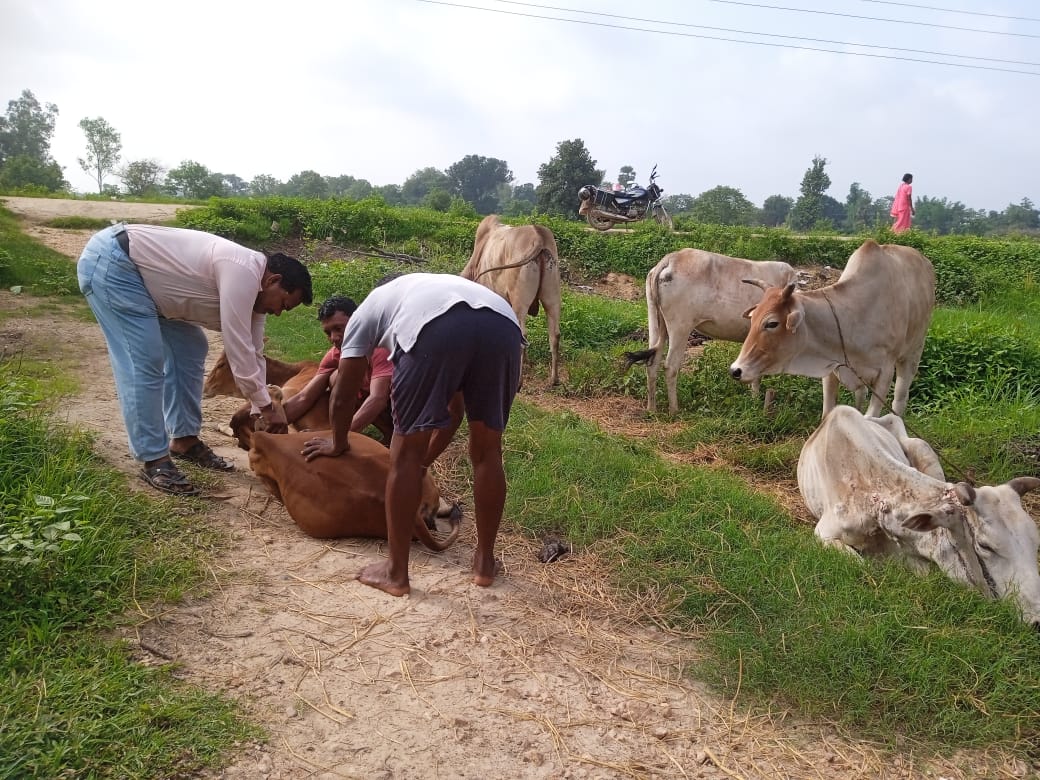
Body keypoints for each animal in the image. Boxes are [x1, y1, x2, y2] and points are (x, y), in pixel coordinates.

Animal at [461, 215, 561, 386]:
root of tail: (539, 236)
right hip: (552, 298)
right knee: (554, 335)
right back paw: (554, 380)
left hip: (519, 302)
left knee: (523, 335)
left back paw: (519, 382)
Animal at [619, 250, 798, 416]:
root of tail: (672, 257)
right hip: (680, 326)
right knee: (670, 366)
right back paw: (674, 410)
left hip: (657, 323)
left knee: (652, 363)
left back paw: (652, 409)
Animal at [728, 240, 940, 418]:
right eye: (753, 318)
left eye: (772, 323)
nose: (735, 370)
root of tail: (924, 261)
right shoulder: (831, 369)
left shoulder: (885, 374)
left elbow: (870, 418)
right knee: (860, 395)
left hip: (912, 353)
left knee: (900, 399)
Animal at [798, 403, 1040, 628]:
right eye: (984, 546)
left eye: (1035, 543)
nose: (1036, 619)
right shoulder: (824, 533)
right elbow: (861, 563)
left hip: (923, 448)